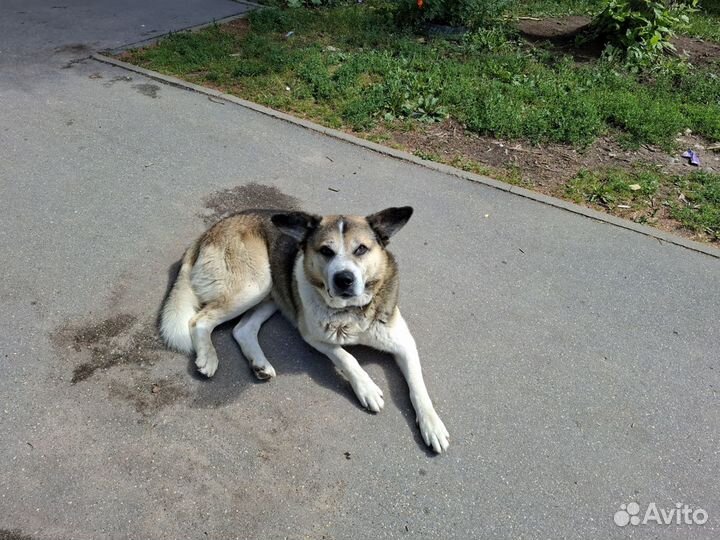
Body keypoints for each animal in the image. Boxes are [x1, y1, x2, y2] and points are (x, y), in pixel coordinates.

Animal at [160, 209, 448, 454]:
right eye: (326, 251)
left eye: (361, 249)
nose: (344, 279)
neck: (349, 310)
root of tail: (212, 230)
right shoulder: (311, 335)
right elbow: (347, 357)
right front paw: (367, 388)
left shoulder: (404, 344)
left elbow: (418, 387)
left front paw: (432, 425)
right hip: (256, 285)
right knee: (199, 320)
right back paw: (208, 357)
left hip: (271, 292)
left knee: (242, 329)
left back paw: (260, 364)